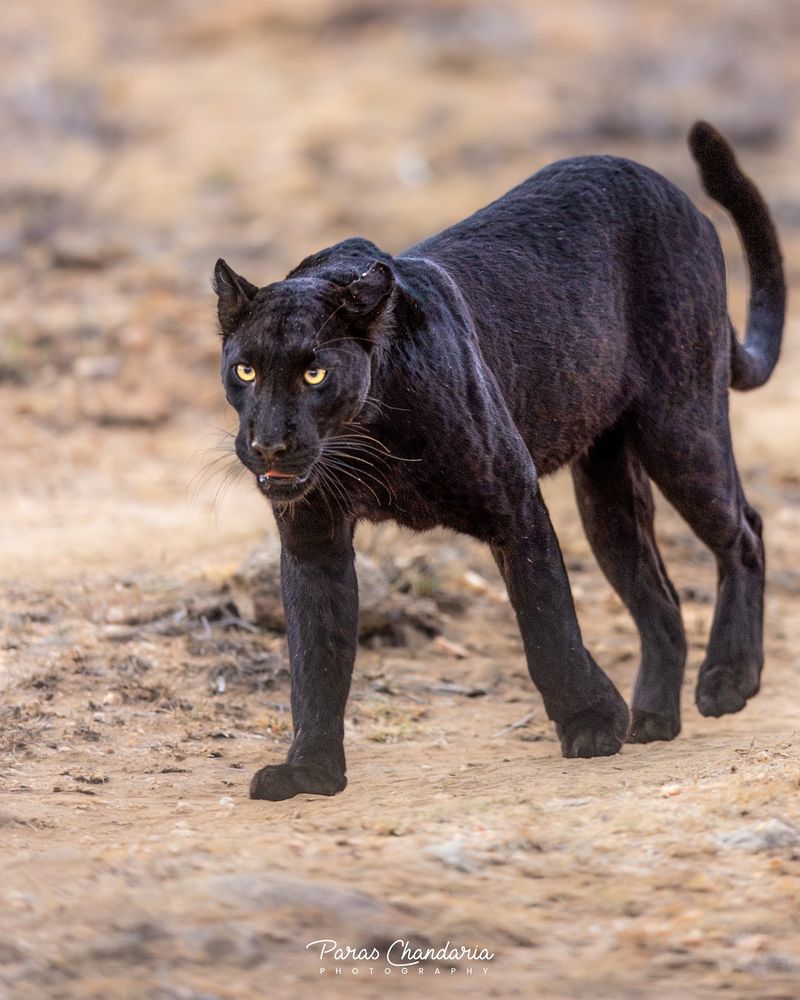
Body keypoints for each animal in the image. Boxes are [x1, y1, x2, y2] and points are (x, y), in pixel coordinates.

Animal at [211, 125, 780, 800]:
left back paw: (729, 679)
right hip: (606, 494)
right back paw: (652, 719)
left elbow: (547, 623)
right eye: (246, 370)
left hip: (681, 426)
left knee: (744, 531)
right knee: (659, 599)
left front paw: (592, 724)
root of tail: (670, 191)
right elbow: (314, 655)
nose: (269, 443)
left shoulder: (515, 501)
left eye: (314, 373)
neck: (369, 437)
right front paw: (310, 771)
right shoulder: (312, 538)